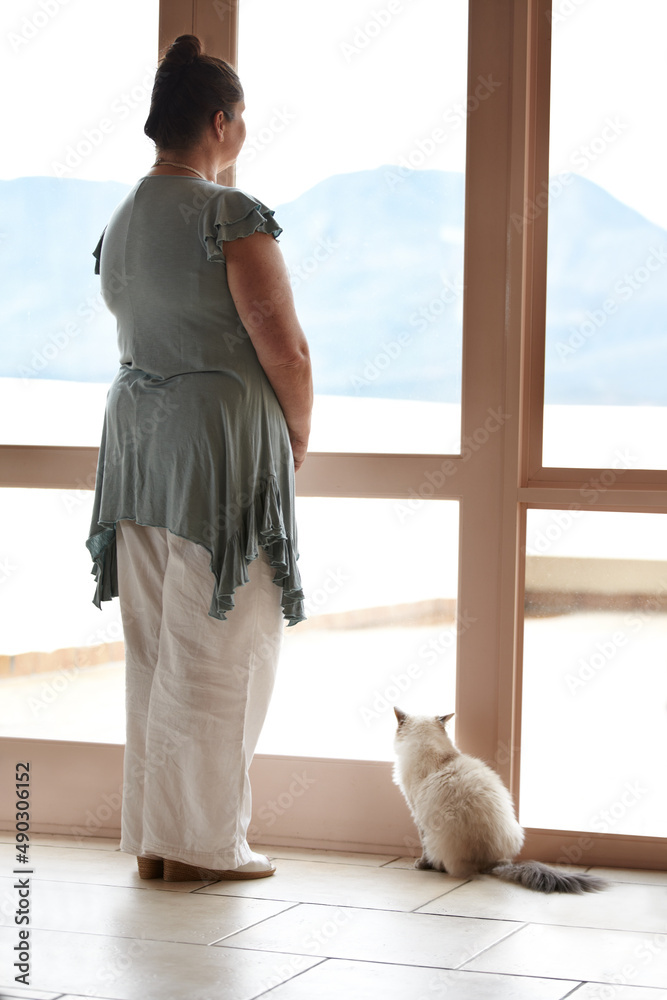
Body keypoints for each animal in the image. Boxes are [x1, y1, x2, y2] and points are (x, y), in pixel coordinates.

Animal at [394, 708, 608, 896]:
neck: (436, 754)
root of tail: (493, 863)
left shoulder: (417, 814)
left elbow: (423, 847)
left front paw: (421, 865)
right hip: (517, 830)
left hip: (436, 836)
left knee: (442, 860)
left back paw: (438, 867)